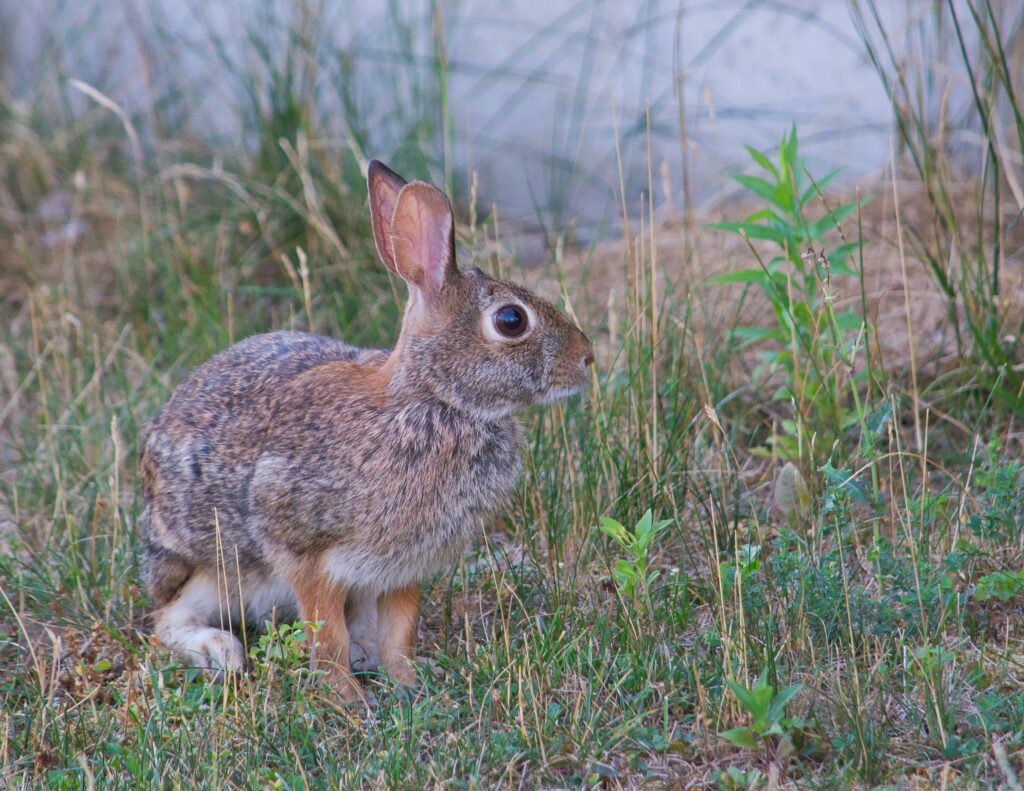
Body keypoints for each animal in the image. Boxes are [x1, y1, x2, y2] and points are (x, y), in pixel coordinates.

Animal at [139, 160, 594, 701]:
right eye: (510, 320)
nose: (587, 358)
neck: (436, 401)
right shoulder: (304, 550)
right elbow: (326, 630)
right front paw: (346, 698)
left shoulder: (405, 567)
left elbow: (400, 629)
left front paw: (409, 680)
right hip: (216, 569)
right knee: (167, 619)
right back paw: (220, 652)